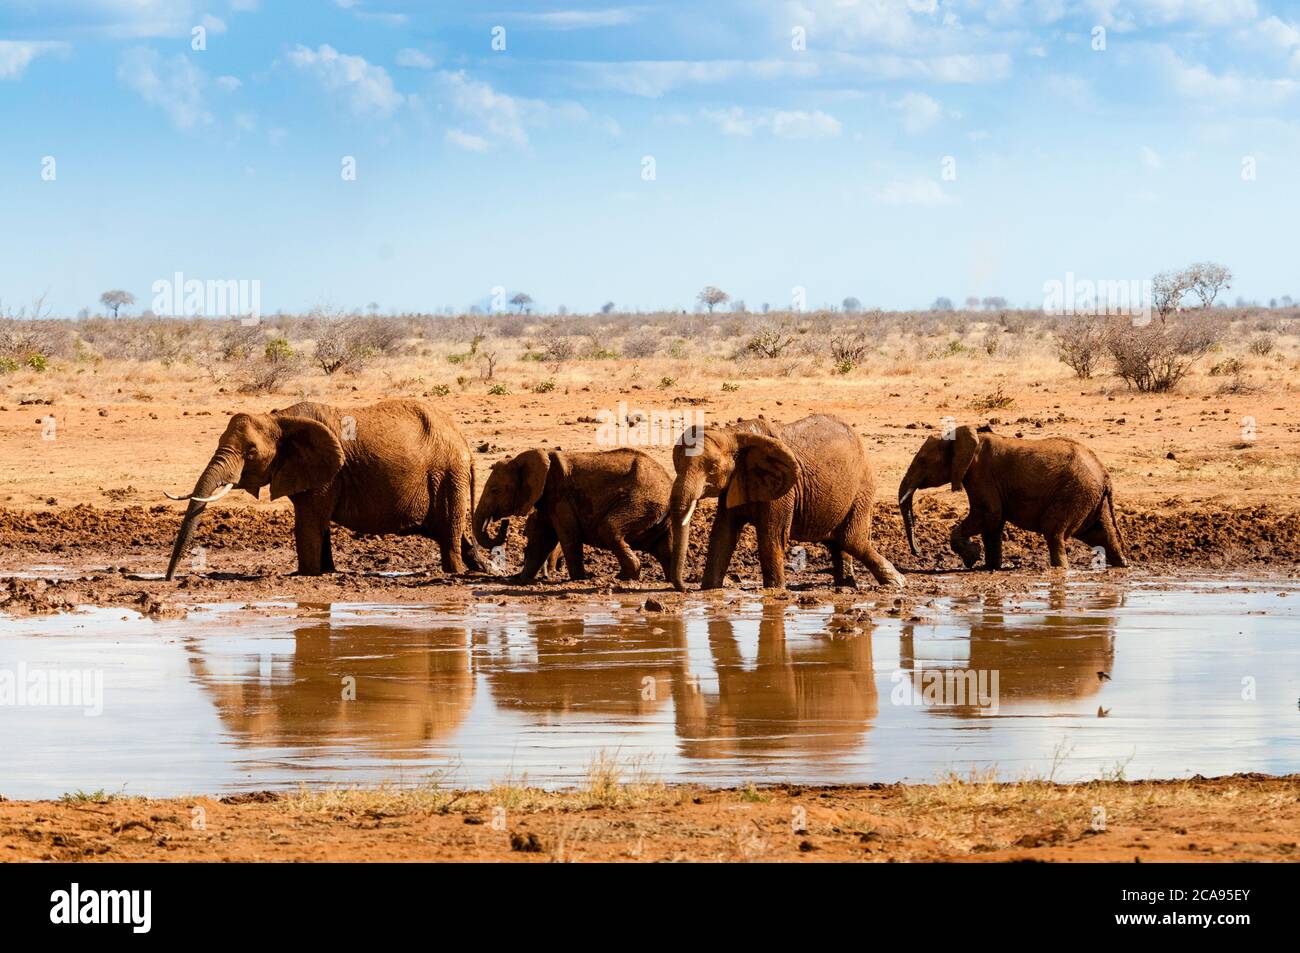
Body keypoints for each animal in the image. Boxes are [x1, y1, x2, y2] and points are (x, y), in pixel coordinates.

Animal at [161, 395, 486, 577]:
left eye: (250, 453)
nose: (169, 579)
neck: (280, 419)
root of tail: (464, 442)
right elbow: (318, 523)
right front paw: (325, 572)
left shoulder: (328, 474)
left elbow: (308, 522)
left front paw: (304, 575)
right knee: (455, 534)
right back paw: (482, 569)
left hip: (448, 474)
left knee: (450, 532)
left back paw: (456, 572)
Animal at [473, 447, 670, 579]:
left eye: (494, 490)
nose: (504, 522)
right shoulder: (548, 500)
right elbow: (542, 539)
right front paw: (520, 580)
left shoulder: (561, 496)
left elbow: (568, 536)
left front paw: (579, 579)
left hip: (642, 500)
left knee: (609, 529)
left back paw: (625, 577)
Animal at [670, 413, 904, 590]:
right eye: (677, 463)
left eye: (712, 468)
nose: (684, 589)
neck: (733, 433)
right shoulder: (734, 483)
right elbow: (723, 535)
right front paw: (709, 589)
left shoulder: (783, 493)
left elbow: (771, 538)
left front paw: (775, 590)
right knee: (839, 542)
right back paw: (847, 586)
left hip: (862, 488)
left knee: (851, 539)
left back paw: (897, 582)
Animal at [894, 426, 1128, 569]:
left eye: (922, 460)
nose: (918, 553)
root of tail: (1105, 474)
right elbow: (993, 524)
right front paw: (989, 566)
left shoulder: (981, 474)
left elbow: (989, 515)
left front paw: (972, 557)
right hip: (1090, 496)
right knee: (1101, 534)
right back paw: (1122, 564)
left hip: (1076, 491)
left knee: (1053, 529)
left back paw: (1059, 569)